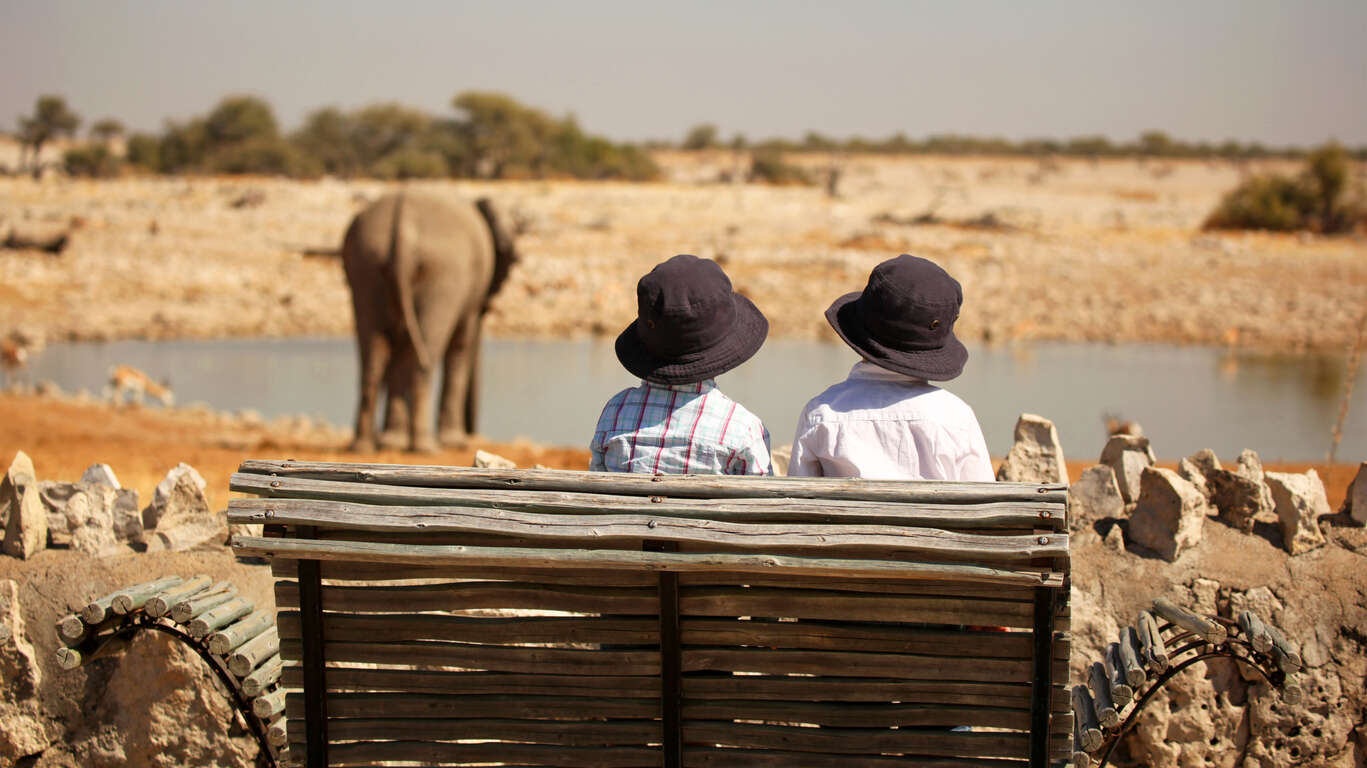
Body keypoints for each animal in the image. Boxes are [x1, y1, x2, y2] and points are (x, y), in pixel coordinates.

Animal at [340, 191, 516, 450]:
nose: (471, 434)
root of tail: (403, 225)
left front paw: (392, 440)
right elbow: (460, 347)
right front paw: (454, 442)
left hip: (365, 262)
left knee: (374, 356)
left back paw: (367, 446)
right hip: (442, 274)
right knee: (424, 358)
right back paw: (425, 446)